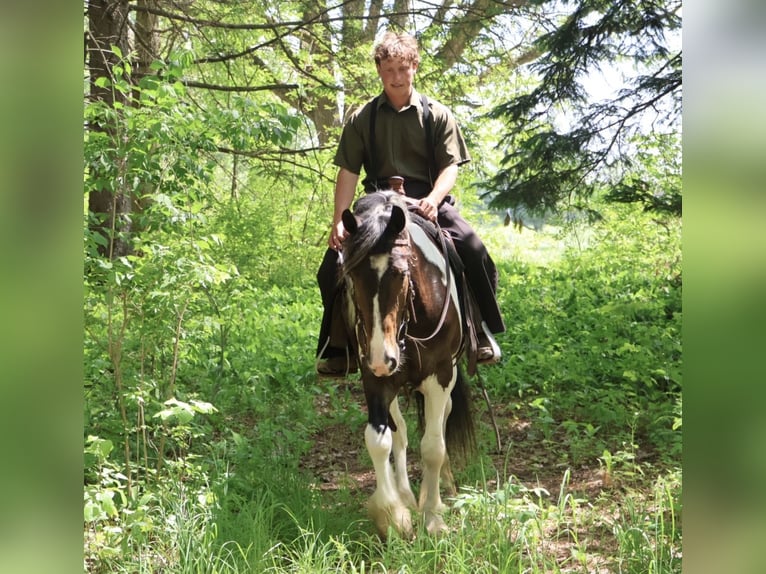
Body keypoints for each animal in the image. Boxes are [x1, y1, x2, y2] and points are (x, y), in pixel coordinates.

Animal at [338, 190, 475, 537]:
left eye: (400, 273)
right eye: (351, 275)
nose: (382, 356)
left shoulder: (441, 375)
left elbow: (433, 447)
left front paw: (434, 517)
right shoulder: (374, 378)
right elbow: (379, 440)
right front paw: (393, 515)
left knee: (441, 423)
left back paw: (442, 489)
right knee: (399, 433)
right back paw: (406, 495)